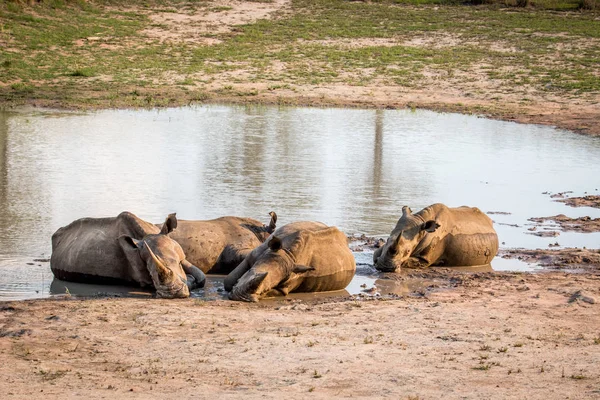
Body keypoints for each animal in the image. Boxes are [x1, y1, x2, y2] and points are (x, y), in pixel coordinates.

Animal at [225, 220, 356, 302]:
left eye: (265, 290)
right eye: (250, 272)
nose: (242, 297)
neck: (287, 254)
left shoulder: (289, 279)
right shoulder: (253, 255)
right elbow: (229, 280)